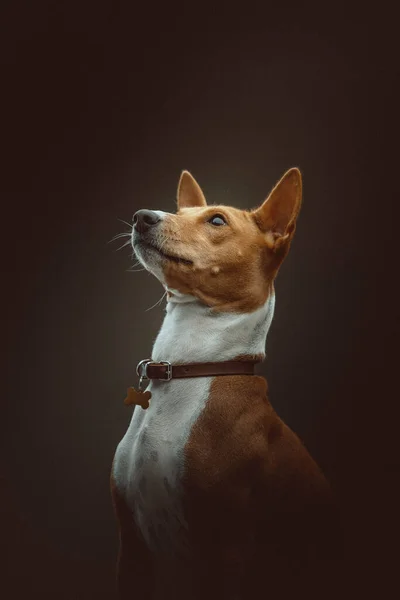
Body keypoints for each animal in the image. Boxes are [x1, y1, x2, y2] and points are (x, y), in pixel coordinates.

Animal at [111, 170, 342, 600]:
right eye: (181, 211)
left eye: (217, 220)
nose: (141, 216)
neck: (190, 370)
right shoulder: (132, 549)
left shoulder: (226, 552)